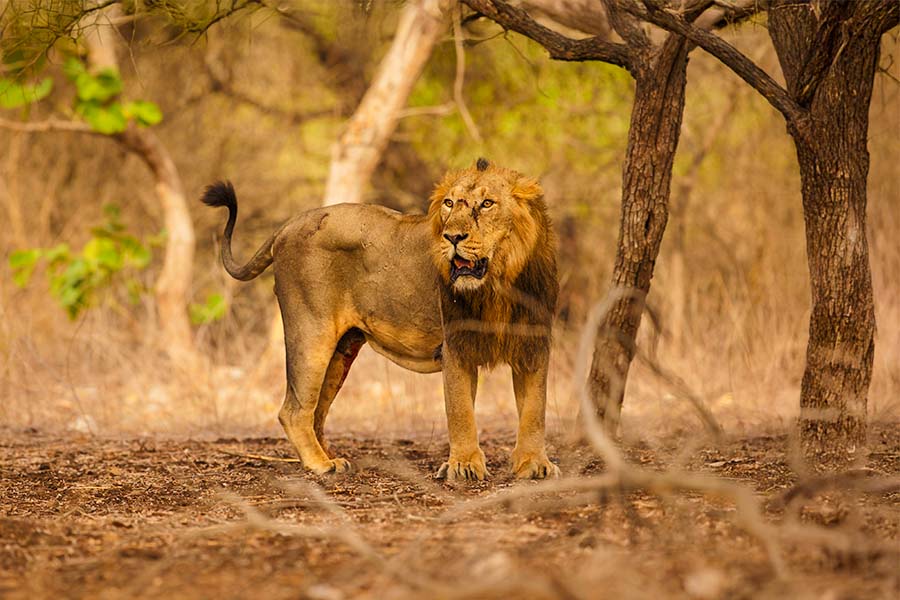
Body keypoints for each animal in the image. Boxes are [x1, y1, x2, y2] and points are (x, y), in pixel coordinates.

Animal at [200, 157, 560, 480]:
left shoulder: (534, 346)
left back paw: (330, 457)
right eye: (449, 203)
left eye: (487, 204)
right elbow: (461, 412)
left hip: (342, 351)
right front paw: (464, 466)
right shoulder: (456, 345)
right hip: (311, 332)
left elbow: (535, 410)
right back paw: (320, 465)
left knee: (317, 412)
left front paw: (534, 465)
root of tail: (287, 225)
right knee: (293, 410)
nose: (452, 237)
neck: (501, 283)